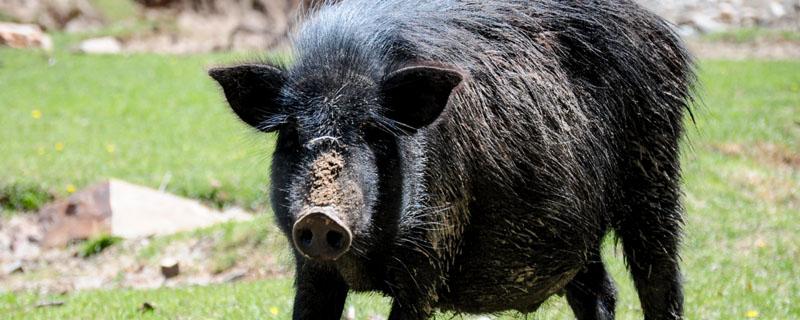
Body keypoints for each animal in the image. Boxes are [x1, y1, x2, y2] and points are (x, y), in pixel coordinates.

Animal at [211, 1, 692, 318]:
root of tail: (663, 30)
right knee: (599, 291)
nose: (320, 216)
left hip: (656, 176)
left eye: (373, 131)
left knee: (659, 279)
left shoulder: (432, 247)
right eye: (292, 134)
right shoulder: (311, 269)